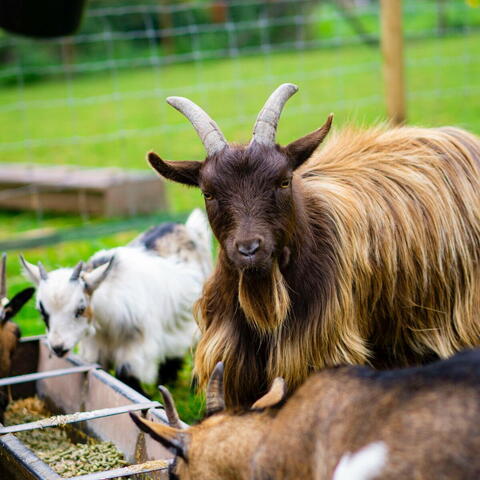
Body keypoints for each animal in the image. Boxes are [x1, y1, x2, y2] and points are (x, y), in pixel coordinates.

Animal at [20, 210, 212, 394]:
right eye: (42, 312)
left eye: (80, 309)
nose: (58, 348)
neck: (105, 327)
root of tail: (188, 228)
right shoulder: (94, 348)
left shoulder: (137, 346)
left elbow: (126, 374)